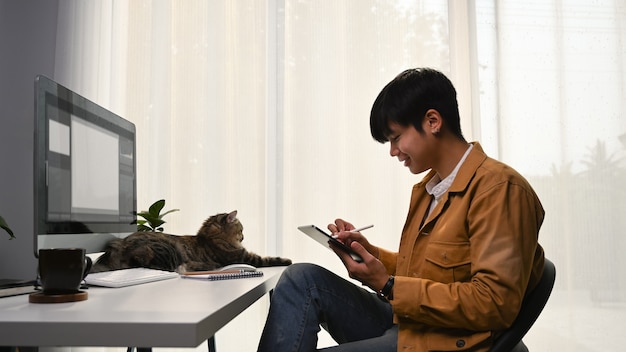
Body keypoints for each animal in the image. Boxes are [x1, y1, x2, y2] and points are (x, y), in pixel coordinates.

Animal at [91, 210, 292, 274]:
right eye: (241, 230)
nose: (243, 238)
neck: (210, 239)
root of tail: (121, 244)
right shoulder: (246, 258)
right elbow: (269, 258)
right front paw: (288, 260)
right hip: (167, 252)